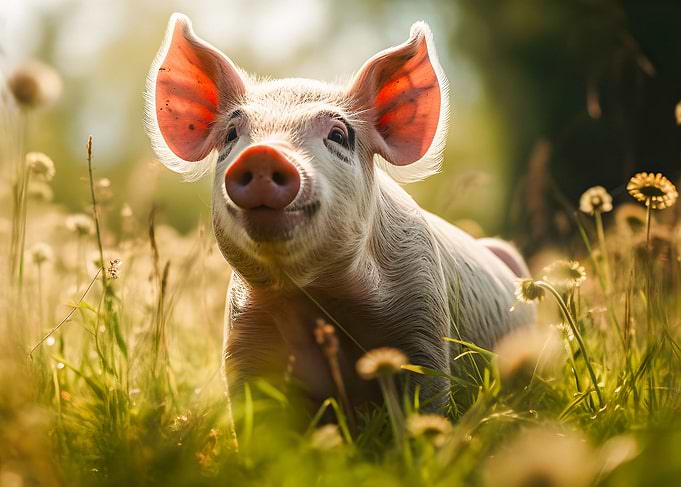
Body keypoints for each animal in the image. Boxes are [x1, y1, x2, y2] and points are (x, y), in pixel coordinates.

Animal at [144, 13, 535, 412]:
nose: (264, 154)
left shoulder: (424, 319)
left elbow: (426, 404)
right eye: (231, 134)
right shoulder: (243, 340)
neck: (312, 297)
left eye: (338, 135)